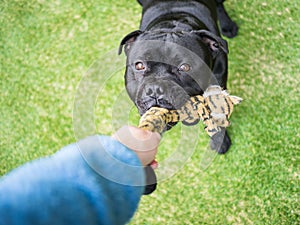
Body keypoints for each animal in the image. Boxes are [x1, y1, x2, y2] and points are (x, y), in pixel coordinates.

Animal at [118, 0, 238, 193]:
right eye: (139, 65)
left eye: (185, 67)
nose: (156, 88)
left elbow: (216, 114)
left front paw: (220, 141)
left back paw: (228, 26)